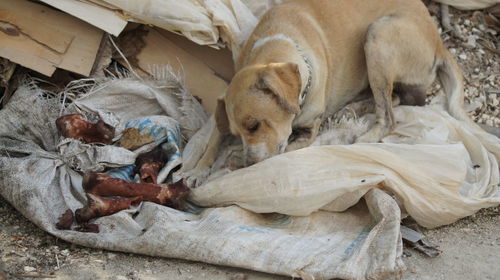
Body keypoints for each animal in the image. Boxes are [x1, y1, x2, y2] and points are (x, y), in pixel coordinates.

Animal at [188, 0, 472, 171]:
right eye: (238, 132)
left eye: (254, 125)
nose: (249, 162)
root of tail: (438, 41)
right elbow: (216, 132)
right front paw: (199, 169)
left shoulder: (306, 133)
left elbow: (282, 151)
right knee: (398, 99)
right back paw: (352, 109)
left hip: (377, 36)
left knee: (390, 115)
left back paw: (364, 136)